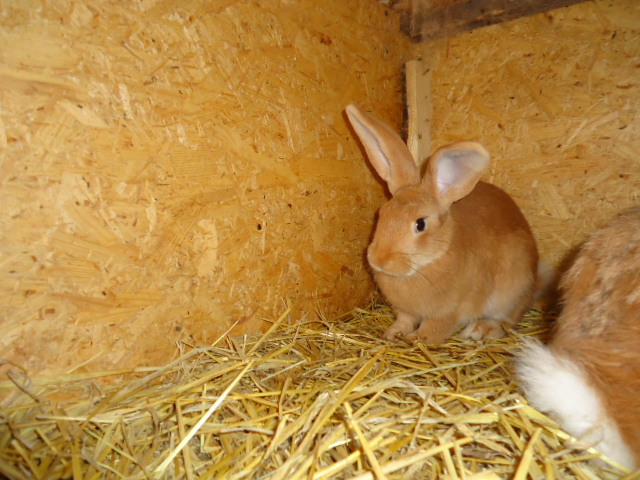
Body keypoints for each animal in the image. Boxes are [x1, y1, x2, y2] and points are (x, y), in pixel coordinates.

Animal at [344, 104, 540, 344]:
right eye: (381, 214)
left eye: (420, 224)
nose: (380, 260)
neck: (426, 264)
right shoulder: (405, 311)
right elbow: (405, 320)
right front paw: (393, 334)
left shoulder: (448, 313)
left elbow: (433, 330)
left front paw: (416, 340)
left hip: (511, 292)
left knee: (507, 320)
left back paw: (479, 330)